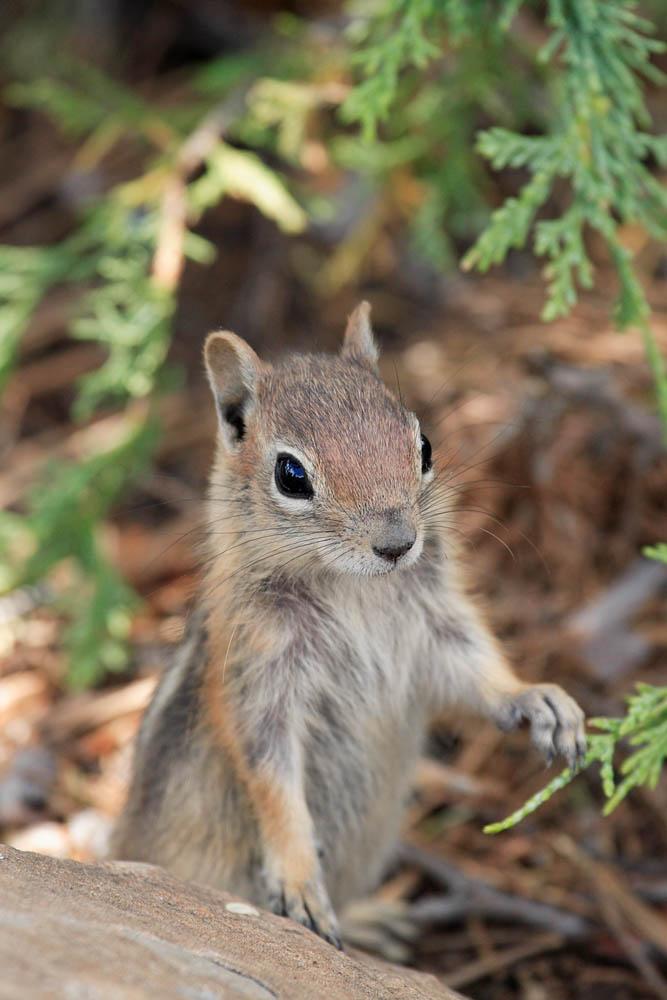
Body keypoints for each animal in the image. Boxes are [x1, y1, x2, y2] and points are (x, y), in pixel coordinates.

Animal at [112, 302, 588, 944]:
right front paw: (297, 878)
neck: (353, 587)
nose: (397, 543)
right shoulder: (256, 669)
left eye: (424, 445)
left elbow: (473, 668)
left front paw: (537, 699)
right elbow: (270, 778)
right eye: (291, 475)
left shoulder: (436, 625)